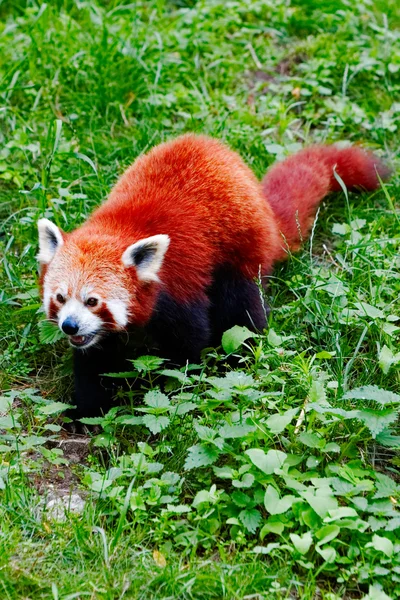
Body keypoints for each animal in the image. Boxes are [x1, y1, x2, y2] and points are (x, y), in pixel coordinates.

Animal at [36, 135, 388, 418]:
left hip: (240, 253)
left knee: (242, 311)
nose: (70, 325)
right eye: (60, 298)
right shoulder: (97, 337)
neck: (120, 228)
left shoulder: (179, 286)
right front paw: (87, 412)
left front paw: (177, 392)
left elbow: (189, 344)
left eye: (93, 301)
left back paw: (241, 358)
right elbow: (94, 362)